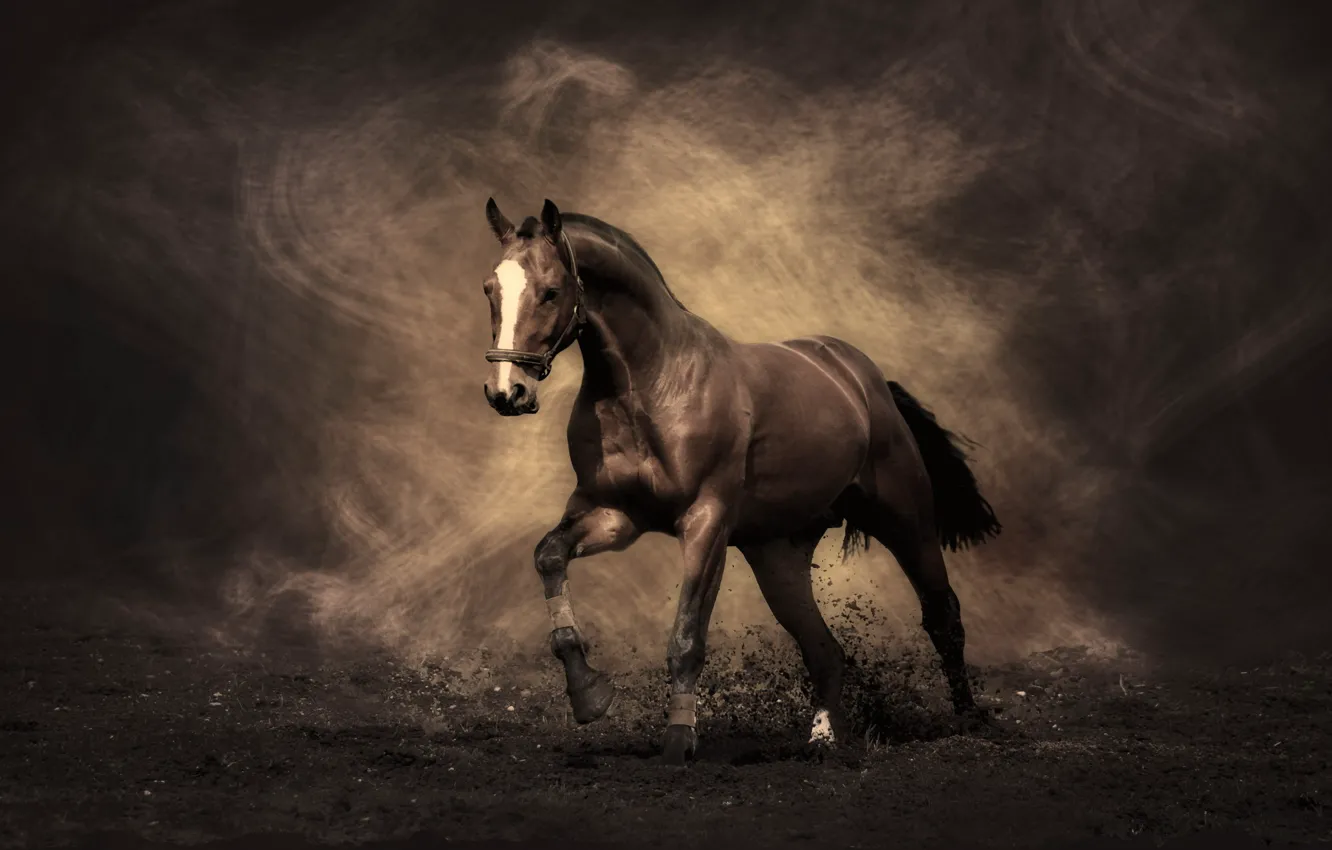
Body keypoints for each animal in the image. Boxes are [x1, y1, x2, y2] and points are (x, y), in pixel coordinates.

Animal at [478, 197, 1002, 766]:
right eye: (490, 289)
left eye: (551, 290)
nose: (507, 392)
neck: (651, 384)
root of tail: (863, 379)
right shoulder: (614, 515)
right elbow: (549, 557)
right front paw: (590, 695)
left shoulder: (706, 523)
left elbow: (687, 637)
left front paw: (679, 742)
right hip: (777, 556)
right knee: (824, 650)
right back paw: (824, 739)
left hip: (905, 520)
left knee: (942, 615)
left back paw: (968, 720)